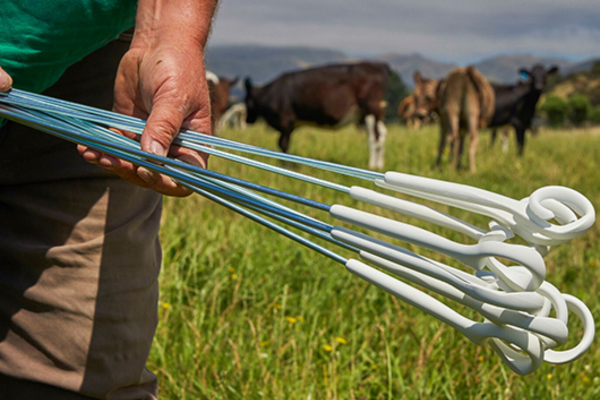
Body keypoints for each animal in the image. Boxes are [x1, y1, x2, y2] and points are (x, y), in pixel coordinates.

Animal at [243, 62, 391, 170]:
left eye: (246, 100)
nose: (248, 120)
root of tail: (379, 65)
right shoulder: (290, 126)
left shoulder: (285, 120)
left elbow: (283, 144)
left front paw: (285, 164)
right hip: (371, 113)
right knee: (382, 134)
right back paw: (379, 165)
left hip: (371, 109)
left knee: (375, 137)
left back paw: (372, 166)